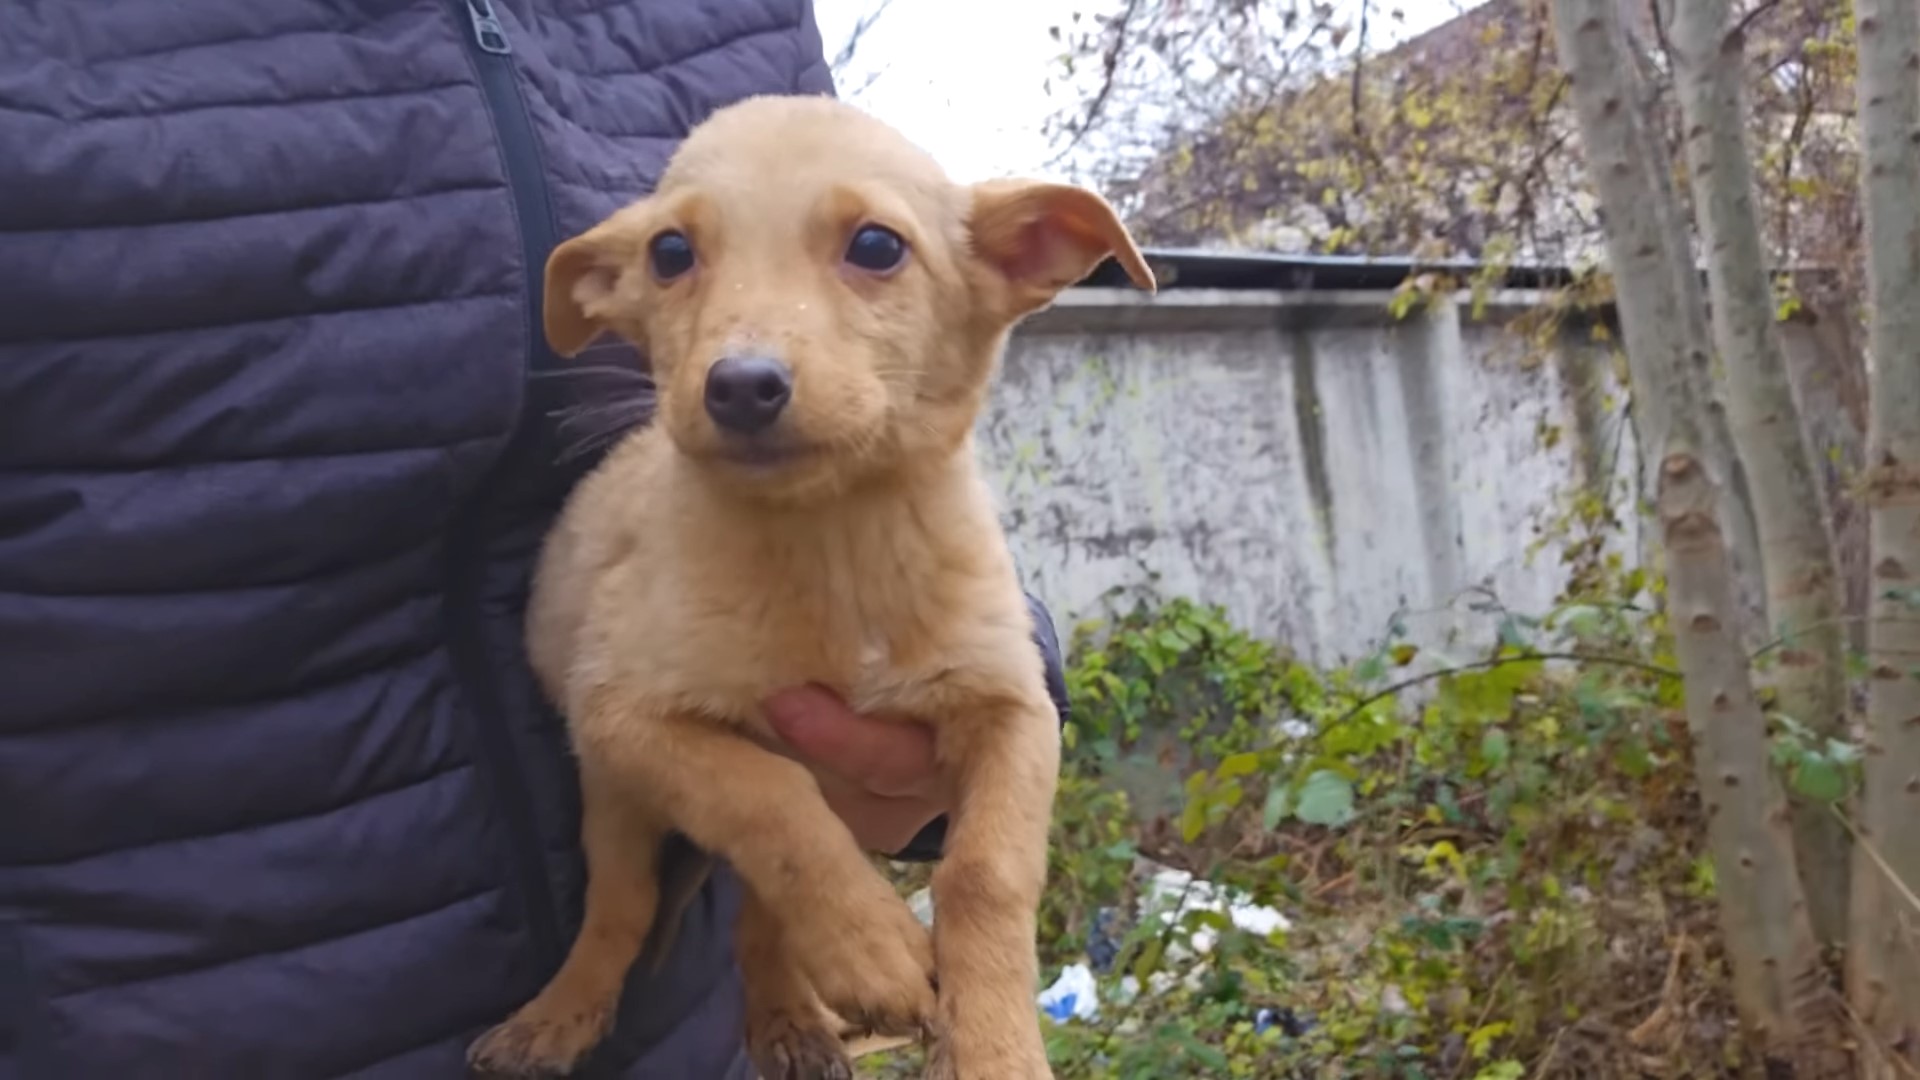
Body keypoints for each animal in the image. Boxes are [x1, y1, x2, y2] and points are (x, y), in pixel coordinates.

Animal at [464, 94, 1152, 1076]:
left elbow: (985, 874)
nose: (741, 387)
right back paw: (558, 1018)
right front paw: (877, 954)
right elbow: (771, 802)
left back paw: (791, 1017)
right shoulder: (625, 714)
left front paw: (994, 1046)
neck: (837, 540)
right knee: (623, 907)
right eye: (669, 253)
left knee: (756, 919)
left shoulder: (1013, 706)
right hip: (612, 792)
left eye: (876, 245)